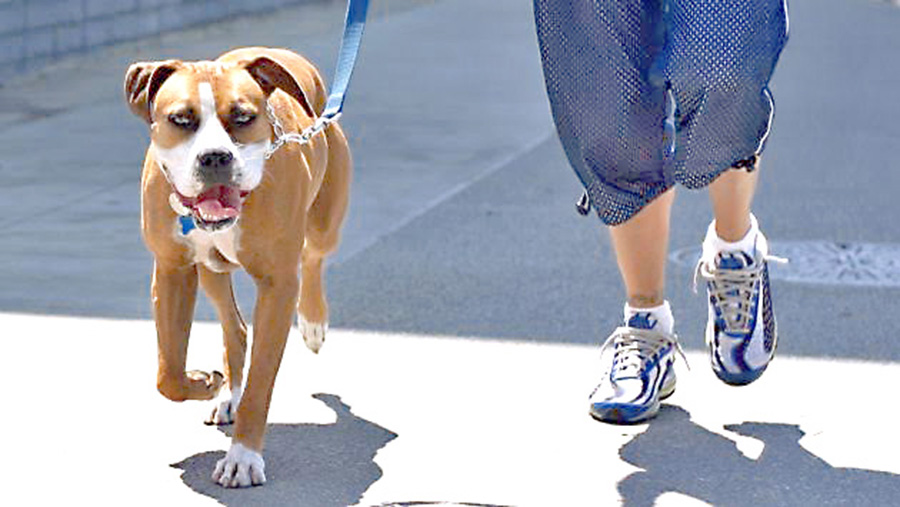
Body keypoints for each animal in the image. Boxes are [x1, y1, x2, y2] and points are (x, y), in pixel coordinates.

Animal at [125, 47, 350, 488]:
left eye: (243, 117)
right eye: (181, 119)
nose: (215, 157)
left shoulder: (278, 286)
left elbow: (262, 382)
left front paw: (243, 457)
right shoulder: (172, 271)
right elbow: (168, 373)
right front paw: (204, 382)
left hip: (325, 223)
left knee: (314, 257)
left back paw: (313, 322)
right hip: (210, 271)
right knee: (235, 328)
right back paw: (229, 392)